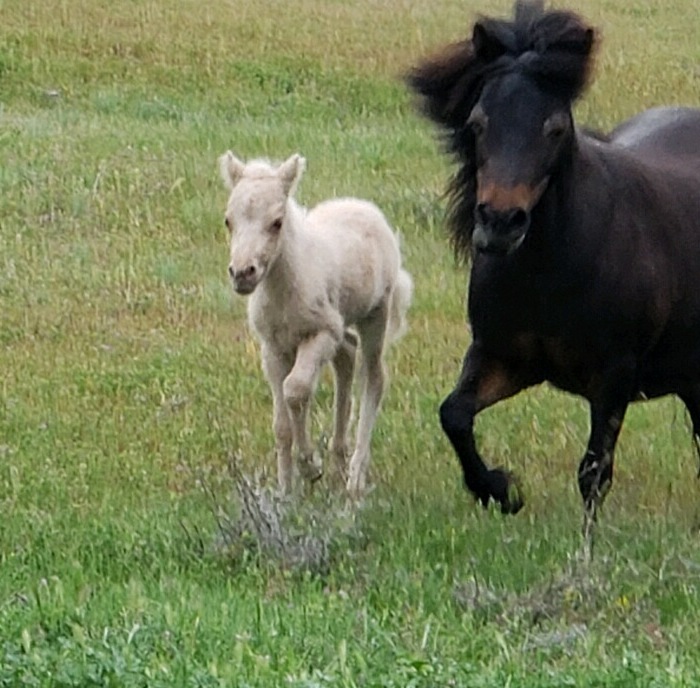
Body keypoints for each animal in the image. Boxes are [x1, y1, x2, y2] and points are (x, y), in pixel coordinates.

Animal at [219, 152, 413, 497]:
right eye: (228, 220)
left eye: (277, 222)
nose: (242, 273)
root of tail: (364, 207)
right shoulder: (272, 348)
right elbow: (281, 424)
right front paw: (285, 491)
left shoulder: (321, 333)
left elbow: (296, 390)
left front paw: (310, 465)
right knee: (347, 355)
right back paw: (339, 458)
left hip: (375, 313)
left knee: (374, 378)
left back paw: (354, 479)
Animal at [406, 0, 700, 528]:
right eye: (477, 123)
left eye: (556, 129)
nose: (500, 222)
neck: (550, 273)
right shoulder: (505, 357)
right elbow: (454, 415)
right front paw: (501, 491)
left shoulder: (614, 377)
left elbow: (593, 472)